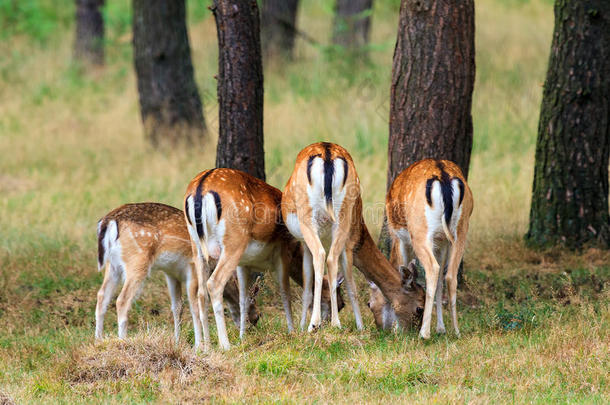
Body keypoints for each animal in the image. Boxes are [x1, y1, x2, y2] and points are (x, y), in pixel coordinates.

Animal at [94, 202, 260, 348]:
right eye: (251, 302)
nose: (255, 321)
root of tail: (108, 221)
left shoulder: (171, 274)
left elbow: (177, 308)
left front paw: (177, 342)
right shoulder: (192, 269)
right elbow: (194, 307)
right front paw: (198, 346)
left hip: (113, 265)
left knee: (102, 296)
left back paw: (99, 341)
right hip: (137, 260)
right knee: (122, 300)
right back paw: (123, 341)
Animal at [384, 158, 470, 338]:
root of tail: (443, 176)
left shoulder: (399, 239)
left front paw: (398, 328)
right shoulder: (441, 243)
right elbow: (440, 283)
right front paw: (441, 328)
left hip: (420, 232)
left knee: (433, 269)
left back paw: (424, 333)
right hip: (462, 229)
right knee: (450, 275)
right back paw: (456, 331)